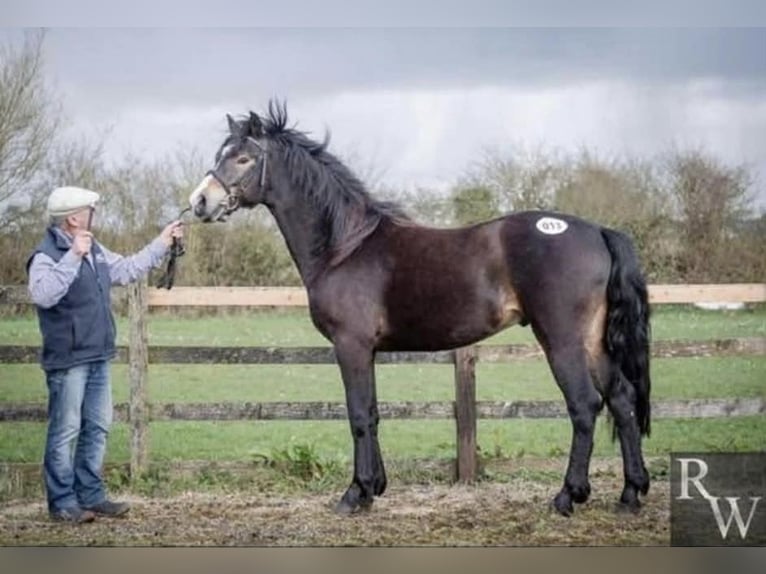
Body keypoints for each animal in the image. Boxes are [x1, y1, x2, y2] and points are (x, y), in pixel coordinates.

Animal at [188, 101, 652, 517]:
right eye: (221, 154)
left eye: (243, 157)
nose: (200, 202)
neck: (345, 245)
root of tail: (598, 230)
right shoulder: (368, 351)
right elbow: (374, 413)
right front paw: (374, 488)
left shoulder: (350, 346)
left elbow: (358, 414)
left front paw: (354, 494)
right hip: (593, 342)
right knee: (622, 399)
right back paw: (630, 495)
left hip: (561, 340)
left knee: (585, 405)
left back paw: (567, 497)